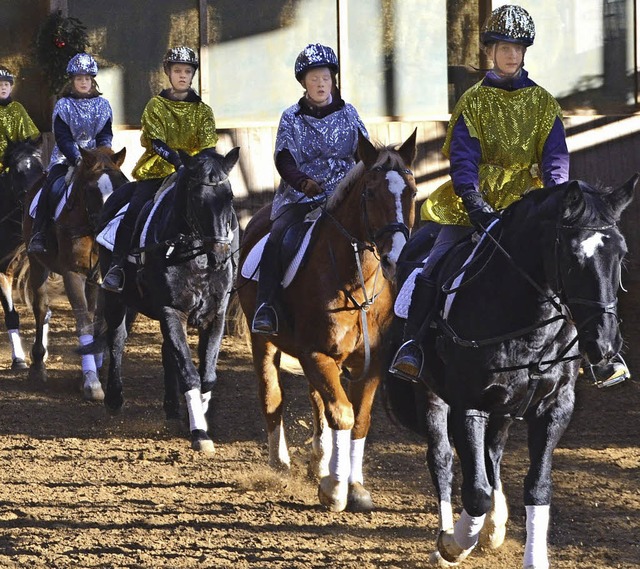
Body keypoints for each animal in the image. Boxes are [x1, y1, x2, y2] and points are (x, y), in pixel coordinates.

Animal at [23, 146, 127, 400]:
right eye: (91, 190)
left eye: (121, 185)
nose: (111, 228)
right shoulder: (73, 274)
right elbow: (84, 323)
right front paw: (91, 382)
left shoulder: (102, 279)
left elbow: (99, 322)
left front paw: (95, 375)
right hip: (37, 264)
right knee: (41, 309)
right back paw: (37, 366)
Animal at [91, 146, 239, 452]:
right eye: (196, 198)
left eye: (229, 197)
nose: (220, 255)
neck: (196, 256)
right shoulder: (172, 310)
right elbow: (189, 372)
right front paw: (200, 433)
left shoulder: (215, 315)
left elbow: (207, 375)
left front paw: (196, 419)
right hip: (116, 300)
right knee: (117, 340)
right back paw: (114, 398)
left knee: (167, 353)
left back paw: (172, 408)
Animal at [236, 130, 420, 510]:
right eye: (370, 192)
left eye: (411, 191)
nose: (395, 257)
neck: (354, 283)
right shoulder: (315, 353)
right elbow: (342, 413)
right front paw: (335, 489)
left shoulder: (370, 363)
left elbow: (358, 419)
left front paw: (354, 485)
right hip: (264, 340)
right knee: (272, 395)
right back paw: (280, 463)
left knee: (317, 402)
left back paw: (319, 462)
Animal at [382, 175, 636, 564]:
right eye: (573, 257)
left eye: (620, 255)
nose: (605, 344)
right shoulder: (470, 404)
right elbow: (475, 490)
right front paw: (454, 543)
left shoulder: (554, 407)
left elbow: (537, 487)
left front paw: (533, 557)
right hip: (430, 393)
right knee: (443, 458)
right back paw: (450, 538)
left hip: (503, 407)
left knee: (493, 453)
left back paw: (494, 525)